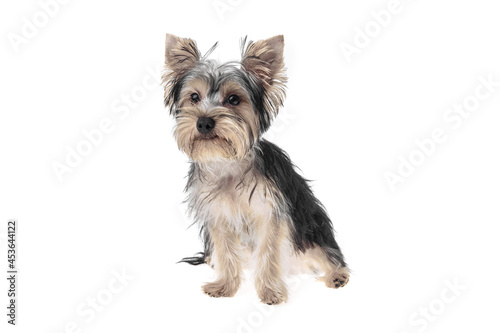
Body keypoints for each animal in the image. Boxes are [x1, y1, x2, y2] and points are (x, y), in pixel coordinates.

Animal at [163, 33, 348, 304]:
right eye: (194, 97)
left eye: (233, 99)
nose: (204, 122)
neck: (228, 161)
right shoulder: (218, 216)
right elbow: (226, 252)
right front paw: (225, 286)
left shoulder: (270, 214)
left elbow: (268, 253)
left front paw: (270, 292)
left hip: (312, 229)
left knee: (327, 253)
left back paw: (337, 275)